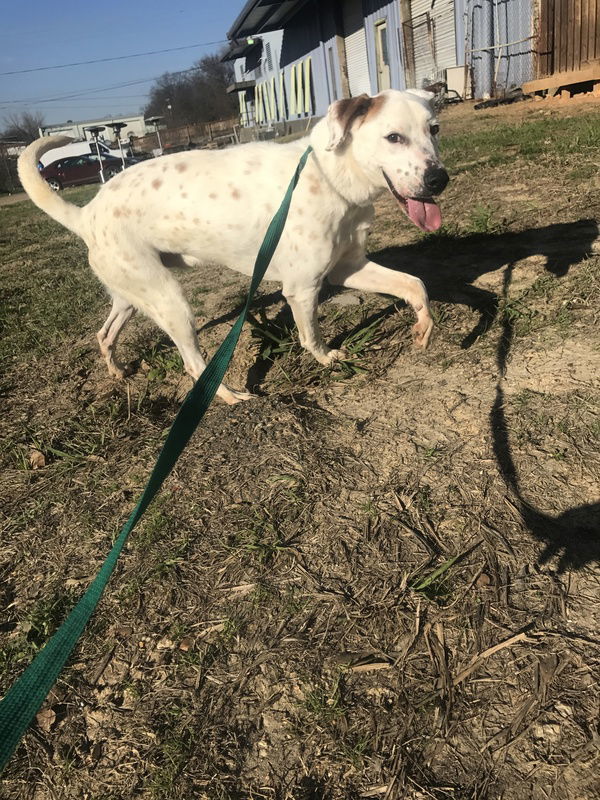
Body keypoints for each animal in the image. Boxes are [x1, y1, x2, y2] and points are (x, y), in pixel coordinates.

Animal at [17, 90, 450, 404]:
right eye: (393, 137)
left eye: (434, 129)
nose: (438, 179)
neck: (330, 176)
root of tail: (86, 213)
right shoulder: (302, 288)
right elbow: (311, 335)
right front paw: (326, 359)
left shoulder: (349, 267)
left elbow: (415, 284)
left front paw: (423, 326)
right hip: (171, 301)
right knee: (193, 365)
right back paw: (229, 397)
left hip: (132, 294)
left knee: (104, 335)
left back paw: (117, 371)